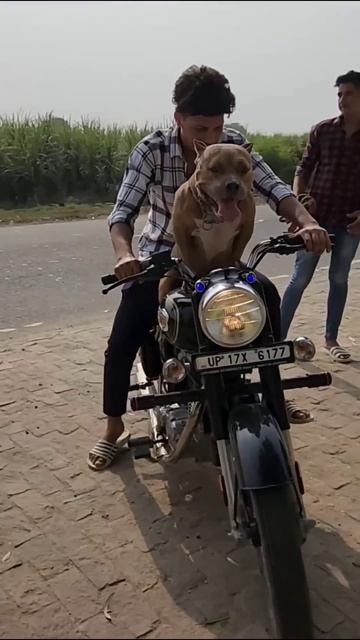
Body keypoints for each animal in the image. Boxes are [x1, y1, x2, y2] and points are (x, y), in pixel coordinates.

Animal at [158, 140, 256, 300]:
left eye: (244, 169)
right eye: (214, 169)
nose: (233, 184)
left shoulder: (246, 229)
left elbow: (236, 252)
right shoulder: (181, 232)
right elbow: (189, 259)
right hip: (166, 280)